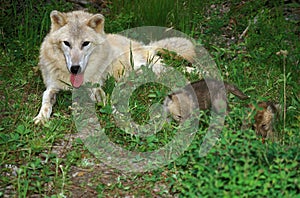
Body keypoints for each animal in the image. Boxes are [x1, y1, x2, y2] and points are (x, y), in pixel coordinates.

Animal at [34, 10, 197, 124]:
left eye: (85, 43)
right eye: (66, 43)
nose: (75, 68)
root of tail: (145, 45)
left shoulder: (96, 87)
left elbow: (107, 101)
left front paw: (120, 117)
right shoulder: (52, 87)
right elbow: (46, 100)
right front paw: (41, 117)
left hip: (147, 66)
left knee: (173, 68)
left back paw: (198, 71)